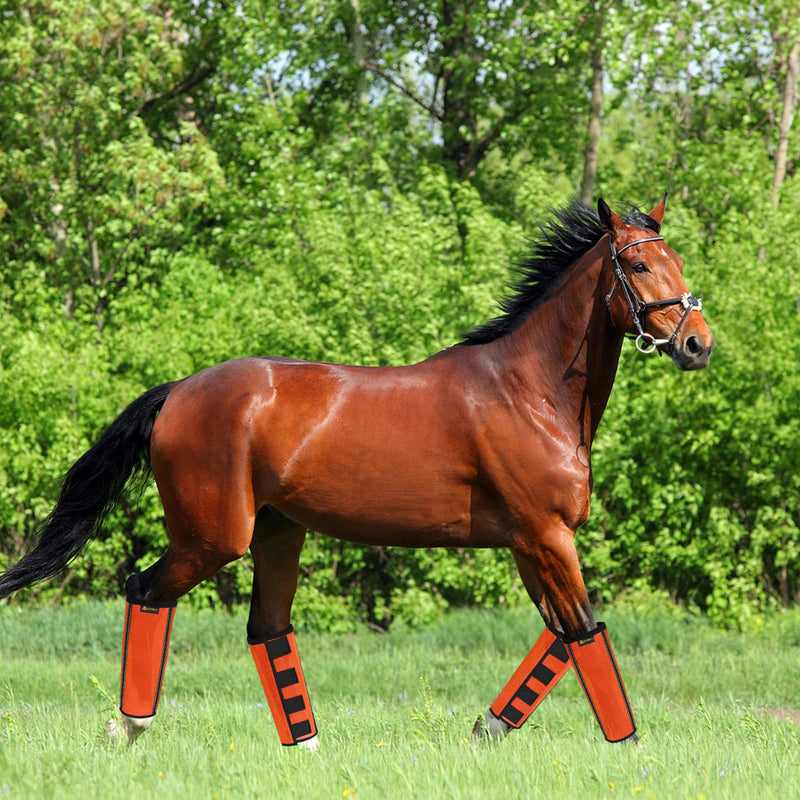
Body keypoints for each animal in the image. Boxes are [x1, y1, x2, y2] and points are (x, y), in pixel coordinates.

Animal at [0, 196, 714, 750]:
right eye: (638, 263)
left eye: (677, 261)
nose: (697, 344)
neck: (530, 391)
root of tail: (178, 391)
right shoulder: (546, 536)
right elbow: (587, 632)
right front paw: (631, 750)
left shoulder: (529, 544)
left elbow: (562, 636)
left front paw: (487, 729)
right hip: (211, 539)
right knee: (146, 590)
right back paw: (128, 727)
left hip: (278, 533)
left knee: (267, 629)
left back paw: (308, 752)